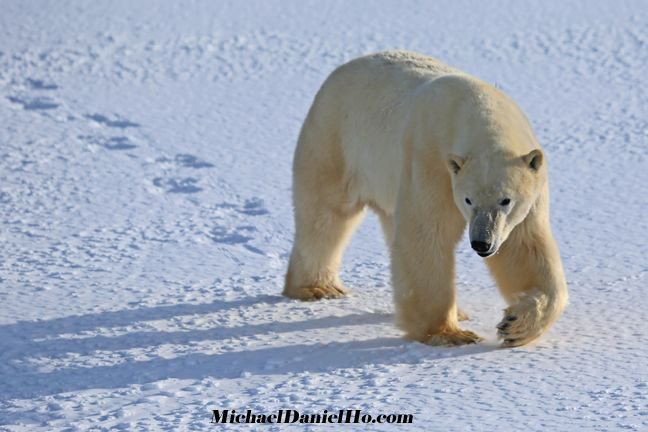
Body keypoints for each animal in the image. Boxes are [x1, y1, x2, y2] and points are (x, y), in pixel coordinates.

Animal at [284, 51, 568, 348]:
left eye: (506, 200)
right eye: (468, 200)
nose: (482, 243)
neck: (473, 108)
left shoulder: (529, 193)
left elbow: (524, 247)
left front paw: (514, 325)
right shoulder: (431, 161)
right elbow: (426, 236)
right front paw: (450, 334)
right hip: (337, 141)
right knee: (326, 215)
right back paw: (318, 287)